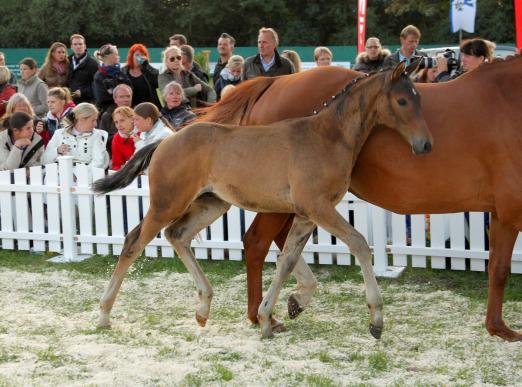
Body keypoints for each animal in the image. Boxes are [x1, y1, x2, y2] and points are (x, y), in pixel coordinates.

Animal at [92, 61, 430, 340]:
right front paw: (376, 320)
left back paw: (203, 309)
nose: (425, 144)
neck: (327, 136)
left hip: (212, 204)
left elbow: (287, 260)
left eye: (418, 99)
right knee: (134, 242)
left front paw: (268, 317)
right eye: (402, 100)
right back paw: (104, 314)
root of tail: (165, 141)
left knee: (177, 235)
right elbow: (359, 244)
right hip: (167, 203)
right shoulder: (319, 207)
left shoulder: (305, 214)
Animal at [198, 54, 520, 342]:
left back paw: (293, 300)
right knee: (256, 243)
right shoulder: (510, 211)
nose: (426, 144)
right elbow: (500, 268)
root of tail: (274, 83)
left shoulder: (501, 213)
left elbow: (497, 266)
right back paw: (260, 314)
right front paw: (499, 328)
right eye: (402, 102)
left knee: (280, 246)